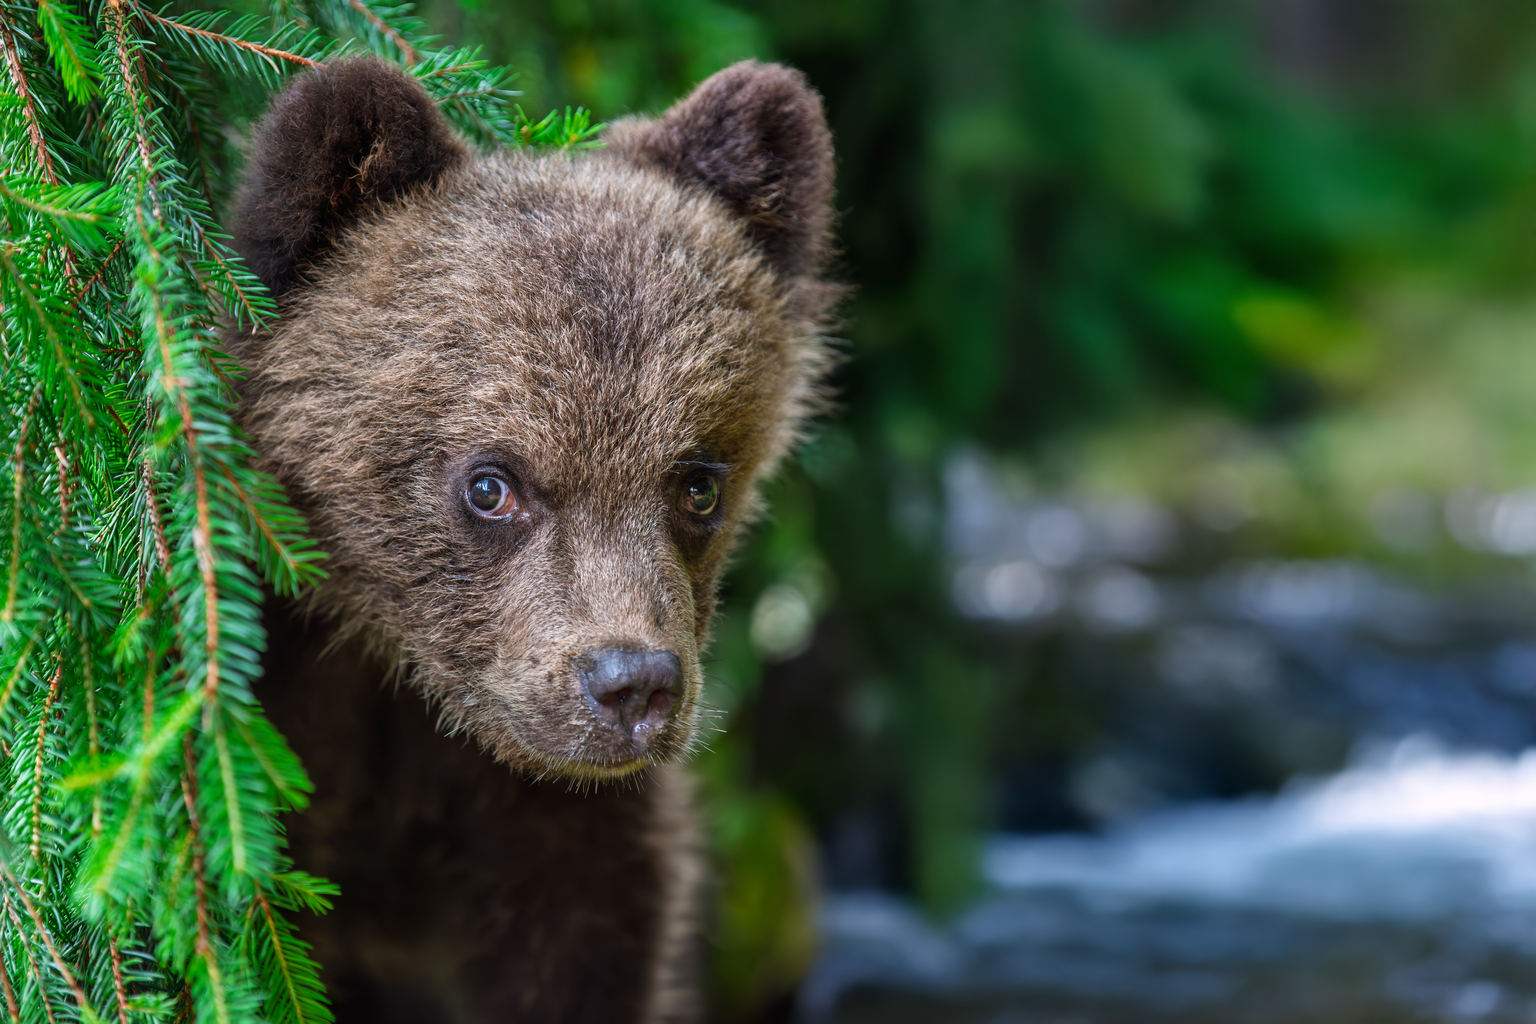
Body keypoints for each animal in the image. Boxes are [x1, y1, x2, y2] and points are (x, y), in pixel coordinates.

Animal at [226, 56, 836, 1023]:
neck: (404, 687)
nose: (632, 686)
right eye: (491, 483)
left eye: (698, 483)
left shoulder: (550, 815)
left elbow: (584, 938)